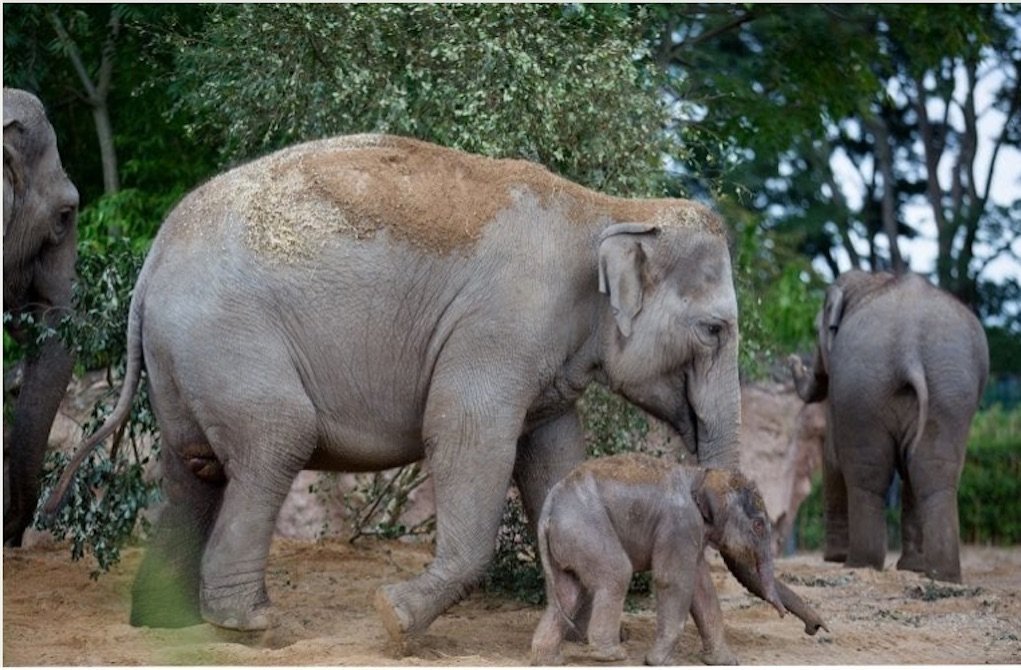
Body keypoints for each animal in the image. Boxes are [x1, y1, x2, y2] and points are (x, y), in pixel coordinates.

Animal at [44, 133, 820, 641]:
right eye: (714, 330)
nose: (815, 631)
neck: (606, 208)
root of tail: (152, 260)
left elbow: (554, 458)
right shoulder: (501, 322)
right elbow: (466, 434)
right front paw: (394, 617)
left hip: (185, 355)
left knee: (194, 466)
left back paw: (164, 622)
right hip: (229, 336)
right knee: (275, 440)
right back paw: (249, 624)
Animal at [530, 453, 786, 666]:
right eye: (758, 525)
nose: (782, 614)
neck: (701, 474)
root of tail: (549, 505)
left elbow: (702, 589)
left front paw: (725, 662)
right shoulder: (679, 526)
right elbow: (673, 581)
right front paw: (657, 662)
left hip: (569, 541)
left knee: (568, 593)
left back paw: (548, 660)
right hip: (585, 530)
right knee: (617, 574)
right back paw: (611, 655)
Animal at [789, 270, 989, 583]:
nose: (793, 359)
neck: (871, 280)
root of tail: (910, 348)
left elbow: (832, 455)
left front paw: (833, 558)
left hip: (864, 387)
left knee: (868, 475)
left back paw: (859, 564)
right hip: (950, 392)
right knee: (931, 470)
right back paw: (937, 574)